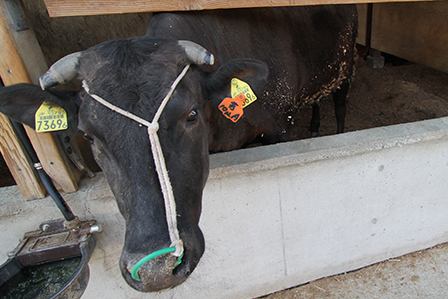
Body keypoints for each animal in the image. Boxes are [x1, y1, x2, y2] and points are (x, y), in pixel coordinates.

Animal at [0, 4, 356, 292]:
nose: (156, 270)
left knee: (339, 103)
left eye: (191, 115)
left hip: (344, 68)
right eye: (88, 136)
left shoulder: (279, 126)